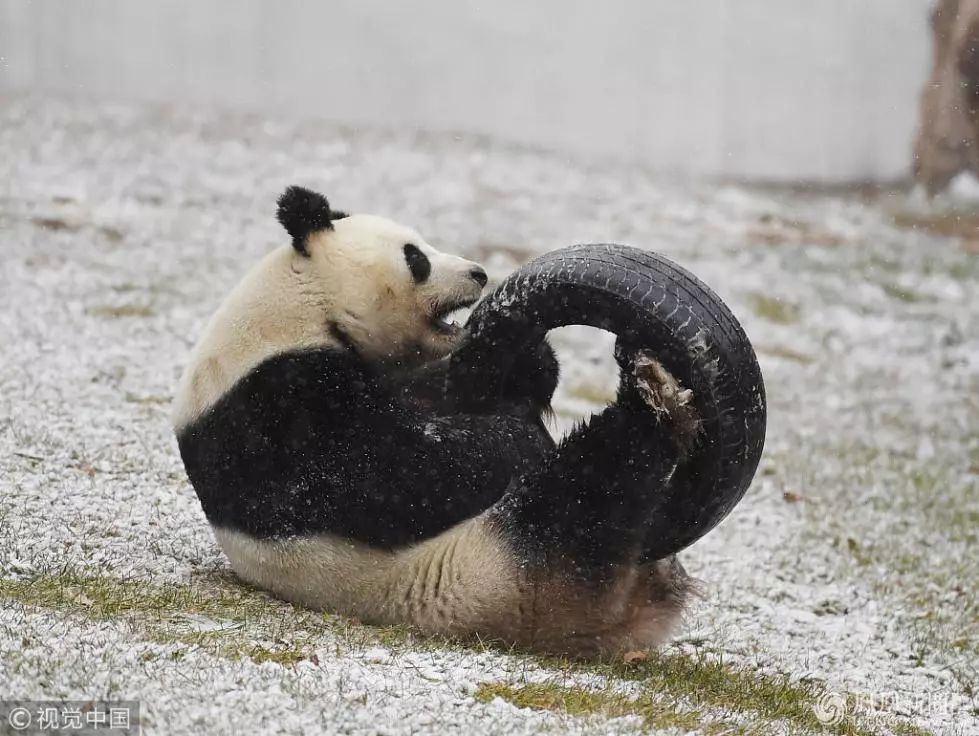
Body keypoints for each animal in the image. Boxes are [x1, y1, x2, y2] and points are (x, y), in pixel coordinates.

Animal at [172, 185, 712, 656]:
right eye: (417, 257)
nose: (478, 273)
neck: (304, 303)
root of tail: (627, 617)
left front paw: (527, 364)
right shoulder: (273, 407)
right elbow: (395, 473)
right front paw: (514, 438)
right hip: (502, 572)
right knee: (587, 489)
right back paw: (653, 401)